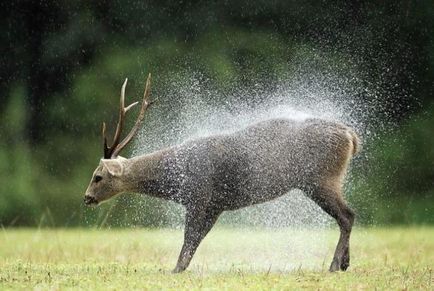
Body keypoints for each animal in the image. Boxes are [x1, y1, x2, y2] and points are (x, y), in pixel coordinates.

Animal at [84, 73, 360, 274]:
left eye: (98, 177)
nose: (86, 197)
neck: (176, 175)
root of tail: (351, 136)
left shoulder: (199, 195)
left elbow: (189, 237)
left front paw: (175, 269)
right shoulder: (216, 205)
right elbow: (197, 239)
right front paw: (181, 267)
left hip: (321, 178)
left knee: (347, 215)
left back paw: (334, 265)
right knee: (347, 215)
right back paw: (345, 263)